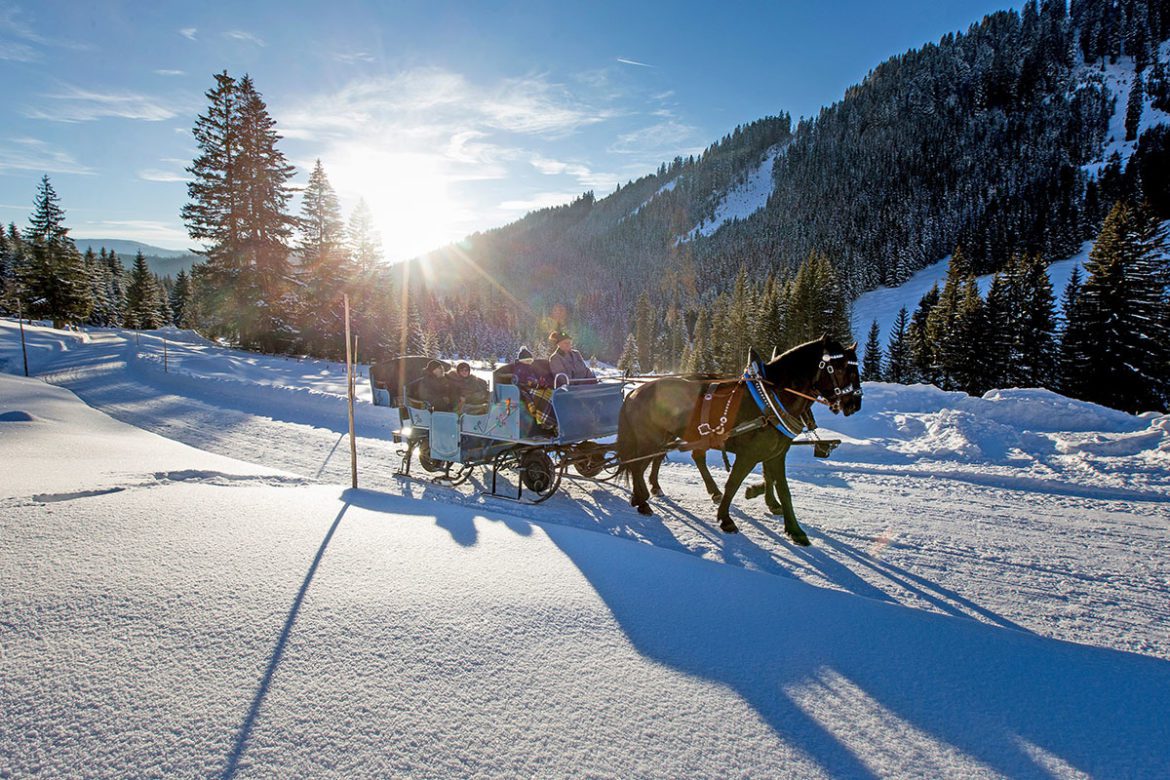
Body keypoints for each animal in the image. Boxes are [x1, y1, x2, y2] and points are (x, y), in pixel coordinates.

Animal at [617, 336, 865, 542]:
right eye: (840, 368)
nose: (854, 404)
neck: (771, 397)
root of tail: (634, 392)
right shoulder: (749, 454)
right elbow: (733, 484)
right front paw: (726, 519)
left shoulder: (776, 454)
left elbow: (783, 489)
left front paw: (794, 530)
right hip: (649, 439)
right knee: (638, 466)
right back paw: (642, 502)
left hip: (663, 438)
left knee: (654, 462)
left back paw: (646, 494)